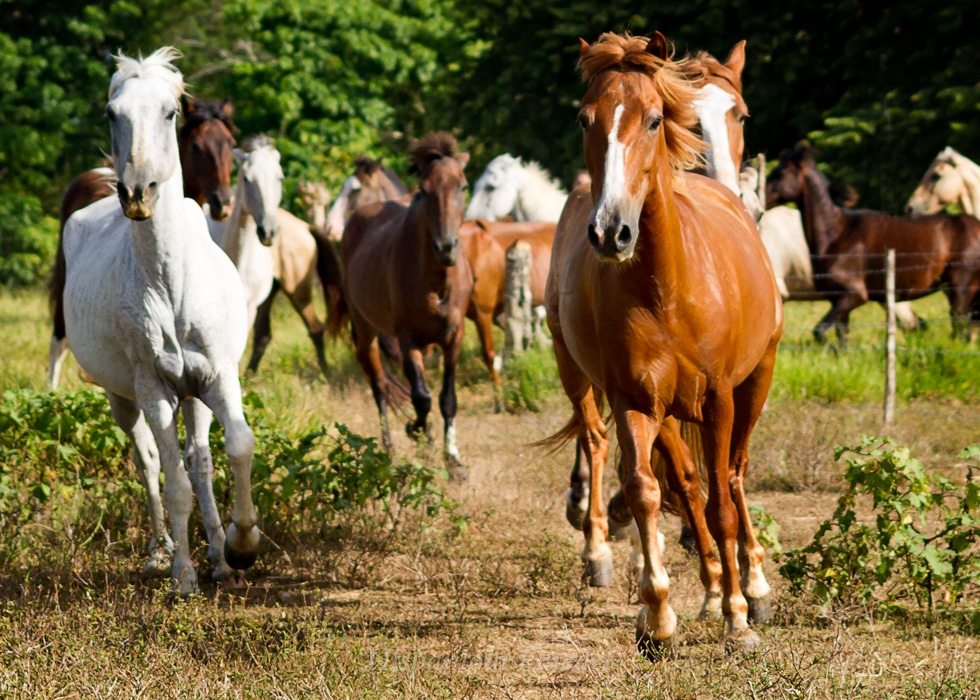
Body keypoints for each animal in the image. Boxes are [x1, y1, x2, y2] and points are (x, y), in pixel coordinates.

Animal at [207, 136, 332, 376]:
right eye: (247, 179)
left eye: (280, 177)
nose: (269, 232)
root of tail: (305, 227)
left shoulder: (248, 307)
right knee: (264, 337)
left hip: (297, 291)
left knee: (315, 329)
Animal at [332, 132, 473, 479]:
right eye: (424, 190)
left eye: (463, 186)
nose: (446, 247)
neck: (436, 280)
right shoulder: (408, 339)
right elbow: (421, 398)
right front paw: (416, 430)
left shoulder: (454, 336)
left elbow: (448, 398)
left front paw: (453, 461)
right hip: (366, 333)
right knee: (380, 387)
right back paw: (389, 449)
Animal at [544, 32, 782, 657]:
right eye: (584, 119)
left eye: (654, 119)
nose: (610, 232)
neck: (668, 286)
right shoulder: (635, 400)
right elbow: (650, 490)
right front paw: (658, 615)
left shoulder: (719, 398)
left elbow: (720, 501)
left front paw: (738, 617)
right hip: (578, 371)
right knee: (607, 445)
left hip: (754, 382)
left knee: (734, 475)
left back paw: (749, 582)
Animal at [767, 143, 980, 343]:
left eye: (782, 172)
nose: (764, 198)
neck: (837, 233)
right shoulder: (838, 299)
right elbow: (841, 338)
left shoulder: (854, 295)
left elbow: (819, 332)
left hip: (960, 289)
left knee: (959, 328)